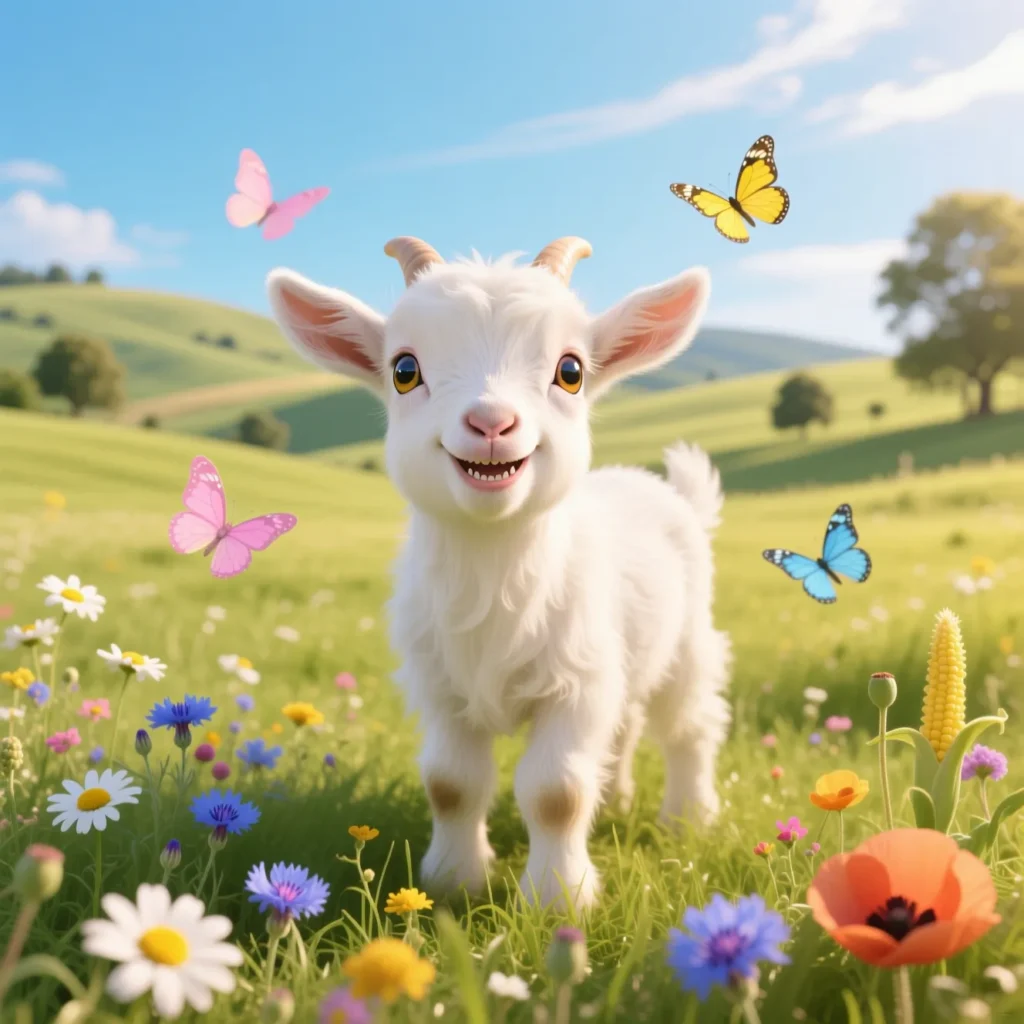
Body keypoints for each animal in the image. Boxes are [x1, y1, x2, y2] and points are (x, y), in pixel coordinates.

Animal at [267, 236, 731, 909]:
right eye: (404, 370)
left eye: (571, 371)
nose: (491, 423)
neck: (495, 579)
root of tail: (666, 489)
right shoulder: (442, 689)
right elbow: (450, 783)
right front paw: (452, 880)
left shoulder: (575, 685)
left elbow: (556, 792)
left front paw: (558, 899)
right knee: (626, 726)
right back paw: (620, 799)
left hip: (688, 641)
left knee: (689, 726)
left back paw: (688, 819)